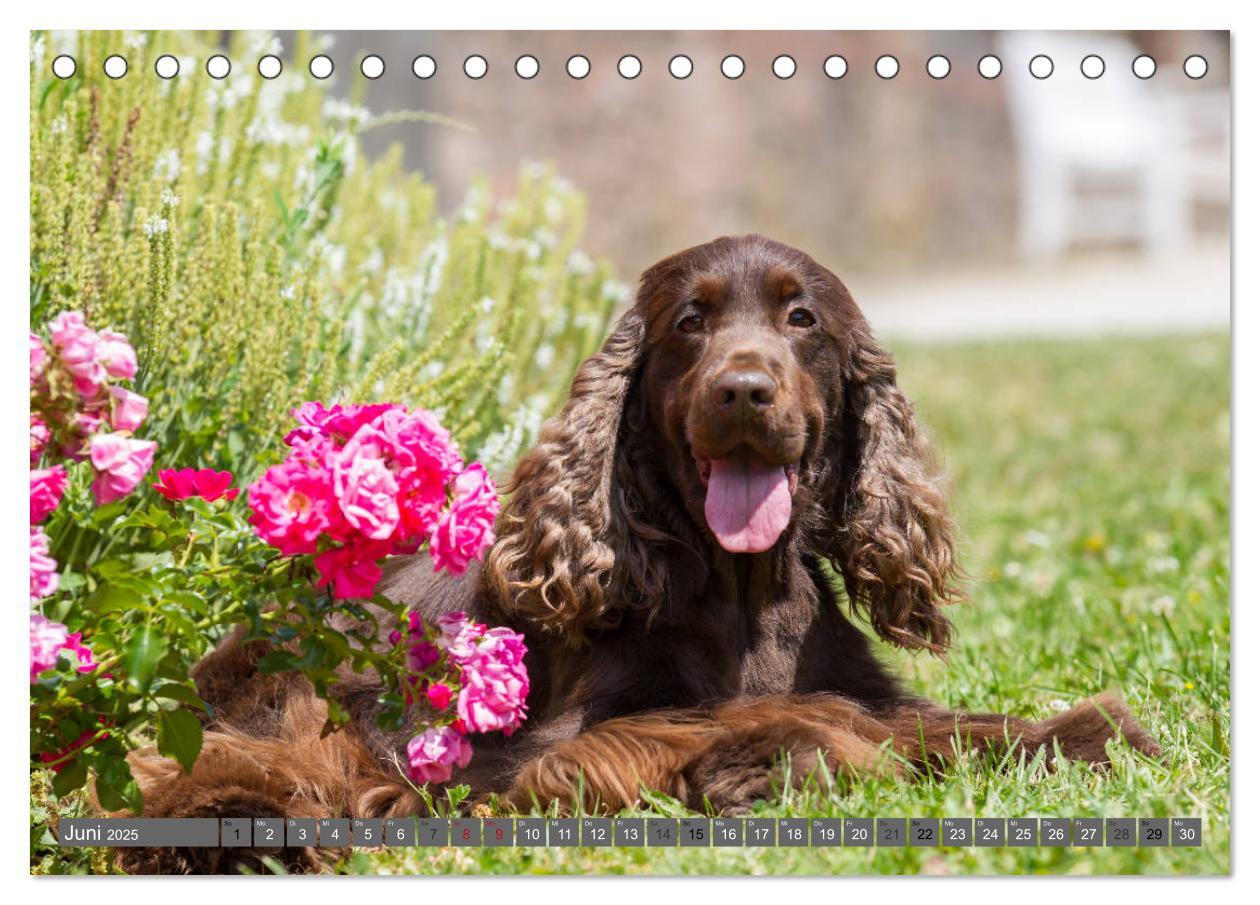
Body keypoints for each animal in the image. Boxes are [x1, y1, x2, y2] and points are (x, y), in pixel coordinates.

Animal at [118, 236, 1159, 877]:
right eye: (691, 321)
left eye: (803, 320)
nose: (743, 391)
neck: (740, 593)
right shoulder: (523, 760)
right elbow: (737, 718)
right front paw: (777, 758)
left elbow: (941, 719)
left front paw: (1084, 732)